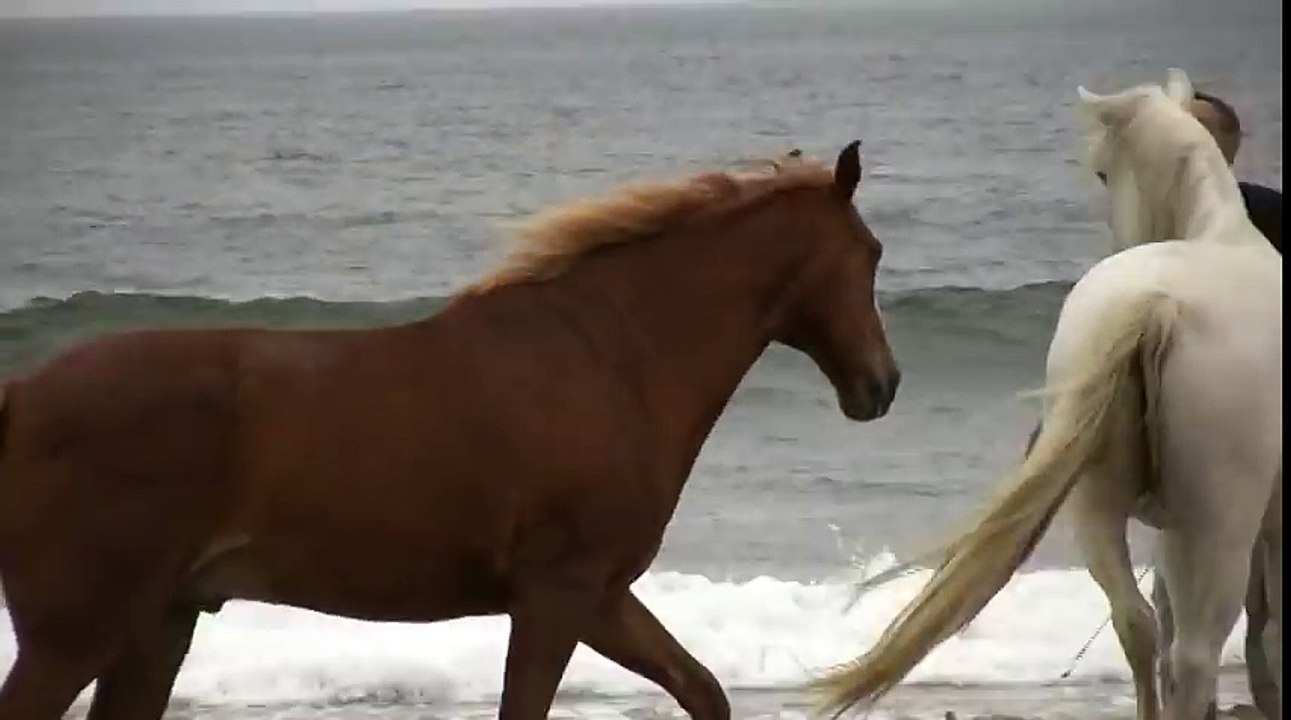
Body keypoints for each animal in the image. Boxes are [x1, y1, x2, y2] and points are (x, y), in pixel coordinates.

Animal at [0, 141, 901, 720]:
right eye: (871, 251)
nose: (881, 386)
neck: (614, 356)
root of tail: (23, 392)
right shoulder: (556, 595)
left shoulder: (602, 596)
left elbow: (702, 689)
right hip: (74, 636)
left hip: (158, 628)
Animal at [810, 70, 1281, 720]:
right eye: (1102, 174)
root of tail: (1157, 305)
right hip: (1214, 527)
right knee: (1191, 653)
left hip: (1099, 510)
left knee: (1138, 625)